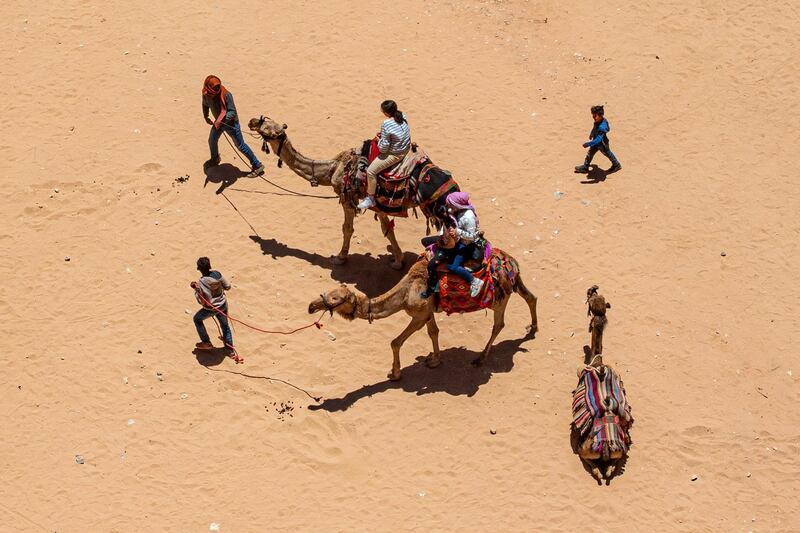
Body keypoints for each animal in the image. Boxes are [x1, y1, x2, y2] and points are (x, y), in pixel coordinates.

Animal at [244, 114, 456, 268]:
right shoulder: (377, 203)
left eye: (267, 128)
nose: (252, 121)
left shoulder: (346, 197)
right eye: (266, 120)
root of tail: (451, 184)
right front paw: (398, 261)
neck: (333, 168)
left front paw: (340, 257)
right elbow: (387, 229)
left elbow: (347, 228)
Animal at [306, 251, 536, 380]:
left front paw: (395, 374)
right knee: (530, 297)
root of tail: (512, 263)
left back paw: (480, 358)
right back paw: (532, 329)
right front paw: (434, 360)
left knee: (499, 324)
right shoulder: (427, 312)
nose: (311, 306)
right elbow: (434, 331)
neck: (405, 292)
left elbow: (395, 342)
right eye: (328, 292)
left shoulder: (418, 315)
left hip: (499, 299)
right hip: (512, 287)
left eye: (335, 298)